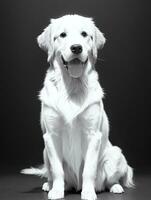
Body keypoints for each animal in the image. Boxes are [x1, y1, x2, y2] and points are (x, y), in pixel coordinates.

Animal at [21, 14, 134, 200]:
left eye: (84, 34)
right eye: (62, 35)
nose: (76, 48)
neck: (72, 87)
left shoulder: (92, 134)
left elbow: (88, 169)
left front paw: (88, 193)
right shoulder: (51, 135)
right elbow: (57, 170)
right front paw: (56, 191)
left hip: (115, 154)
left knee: (111, 180)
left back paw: (115, 187)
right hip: (45, 152)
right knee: (53, 175)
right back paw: (49, 185)